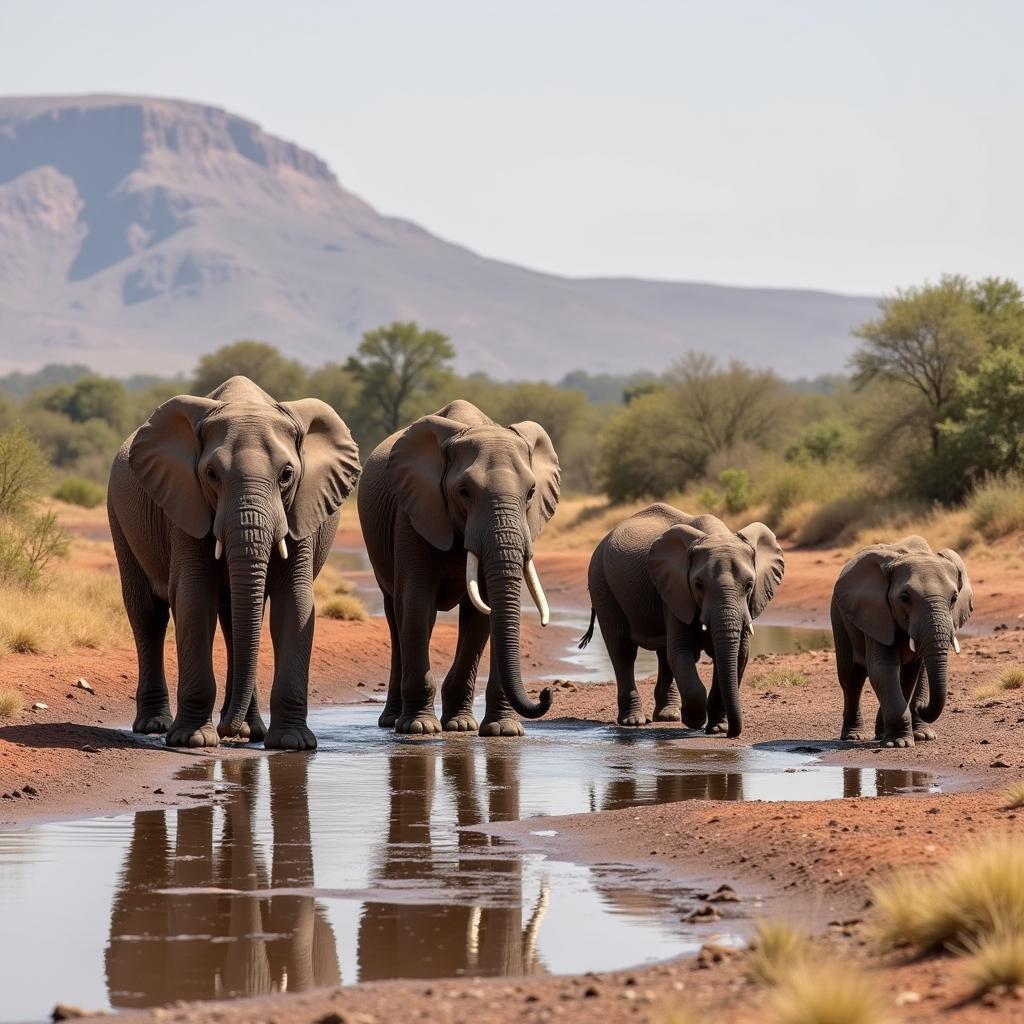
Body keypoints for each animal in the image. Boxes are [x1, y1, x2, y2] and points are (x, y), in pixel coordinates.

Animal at [107, 372, 360, 749]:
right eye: (211, 474)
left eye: (287, 474)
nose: (227, 727)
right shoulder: (184, 502)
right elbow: (194, 599)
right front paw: (193, 740)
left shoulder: (303, 506)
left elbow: (295, 603)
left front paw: (292, 743)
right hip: (118, 516)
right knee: (148, 614)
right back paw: (157, 725)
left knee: (233, 623)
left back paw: (249, 732)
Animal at [360, 397, 561, 737]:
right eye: (464, 492)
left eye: (531, 493)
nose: (547, 692)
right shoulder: (413, 510)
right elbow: (416, 601)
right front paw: (420, 728)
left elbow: (483, 612)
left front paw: (492, 730)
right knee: (397, 615)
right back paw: (393, 721)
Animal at [581, 503, 786, 737]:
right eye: (698, 585)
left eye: (750, 585)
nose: (732, 733)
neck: (716, 535)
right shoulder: (677, 589)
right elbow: (681, 651)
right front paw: (694, 721)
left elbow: (739, 654)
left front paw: (717, 728)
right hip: (600, 580)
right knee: (623, 650)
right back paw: (633, 721)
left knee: (662, 654)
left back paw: (668, 717)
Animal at [827, 540, 970, 749]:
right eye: (905, 598)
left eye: (954, 599)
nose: (920, 707)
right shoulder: (875, 613)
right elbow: (883, 668)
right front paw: (899, 743)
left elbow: (910, 674)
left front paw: (900, 737)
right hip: (838, 613)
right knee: (851, 676)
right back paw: (854, 736)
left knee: (921, 674)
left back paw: (918, 734)